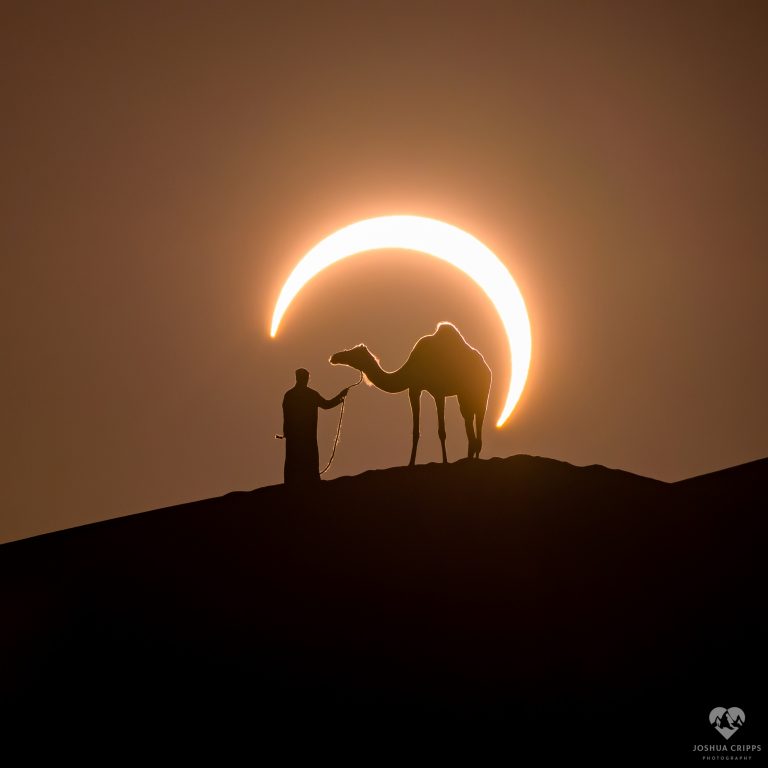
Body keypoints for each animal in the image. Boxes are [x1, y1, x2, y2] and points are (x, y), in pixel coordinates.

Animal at [330, 320, 492, 464]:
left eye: (353, 353)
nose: (334, 357)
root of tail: (486, 367)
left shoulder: (438, 392)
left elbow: (441, 431)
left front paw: (445, 461)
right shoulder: (414, 388)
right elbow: (415, 431)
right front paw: (411, 463)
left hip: (482, 391)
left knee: (479, 419)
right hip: (464, 395)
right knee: (468, 420)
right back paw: (470, 457)